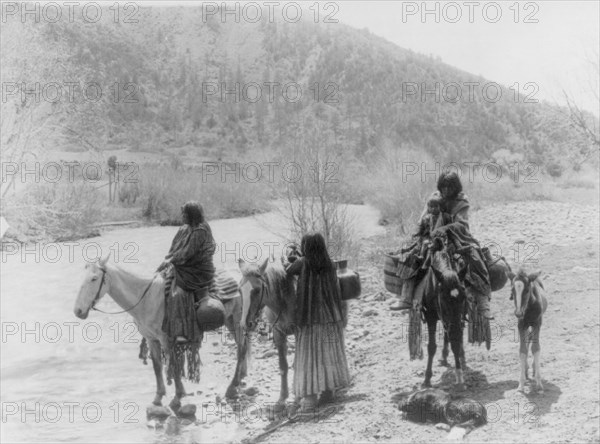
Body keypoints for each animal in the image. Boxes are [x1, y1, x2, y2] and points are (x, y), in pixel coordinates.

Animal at [72, 255, 251, 412]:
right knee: (242, 346)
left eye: (94, 278)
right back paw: (241, 376)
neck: (145, 299)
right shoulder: (151, 339)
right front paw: (158, 397)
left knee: (241, 348)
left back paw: (232, 386)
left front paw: (177, 397)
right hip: (229, 321)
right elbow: (157, 366)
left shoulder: (166, 339)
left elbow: (173, 364)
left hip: (237, 320)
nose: (78, 311)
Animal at [418, 234, 468, 390]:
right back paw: (445, 356)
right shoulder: (430, 317)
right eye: (444, 298)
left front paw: (459, 374)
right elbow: (431, 347)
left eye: (463, 297)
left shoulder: (458, 317)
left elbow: (456, 342)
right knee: (448, 334)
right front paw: (427, 378)